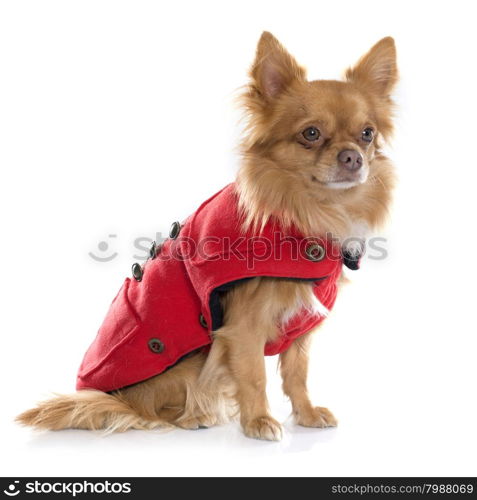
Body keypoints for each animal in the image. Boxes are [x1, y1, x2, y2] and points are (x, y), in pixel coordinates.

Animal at [16, 31, 396, 440]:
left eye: (367, 134)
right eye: (311, 134)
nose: (353, 156)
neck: (305, 213)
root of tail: (112, 396)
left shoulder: (300, 328)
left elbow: (297, 374)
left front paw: (306, 414)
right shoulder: (242, 329)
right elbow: (255, 376)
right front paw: (259, 421)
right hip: (186, 363)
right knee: (148, 411)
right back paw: (194, 416)